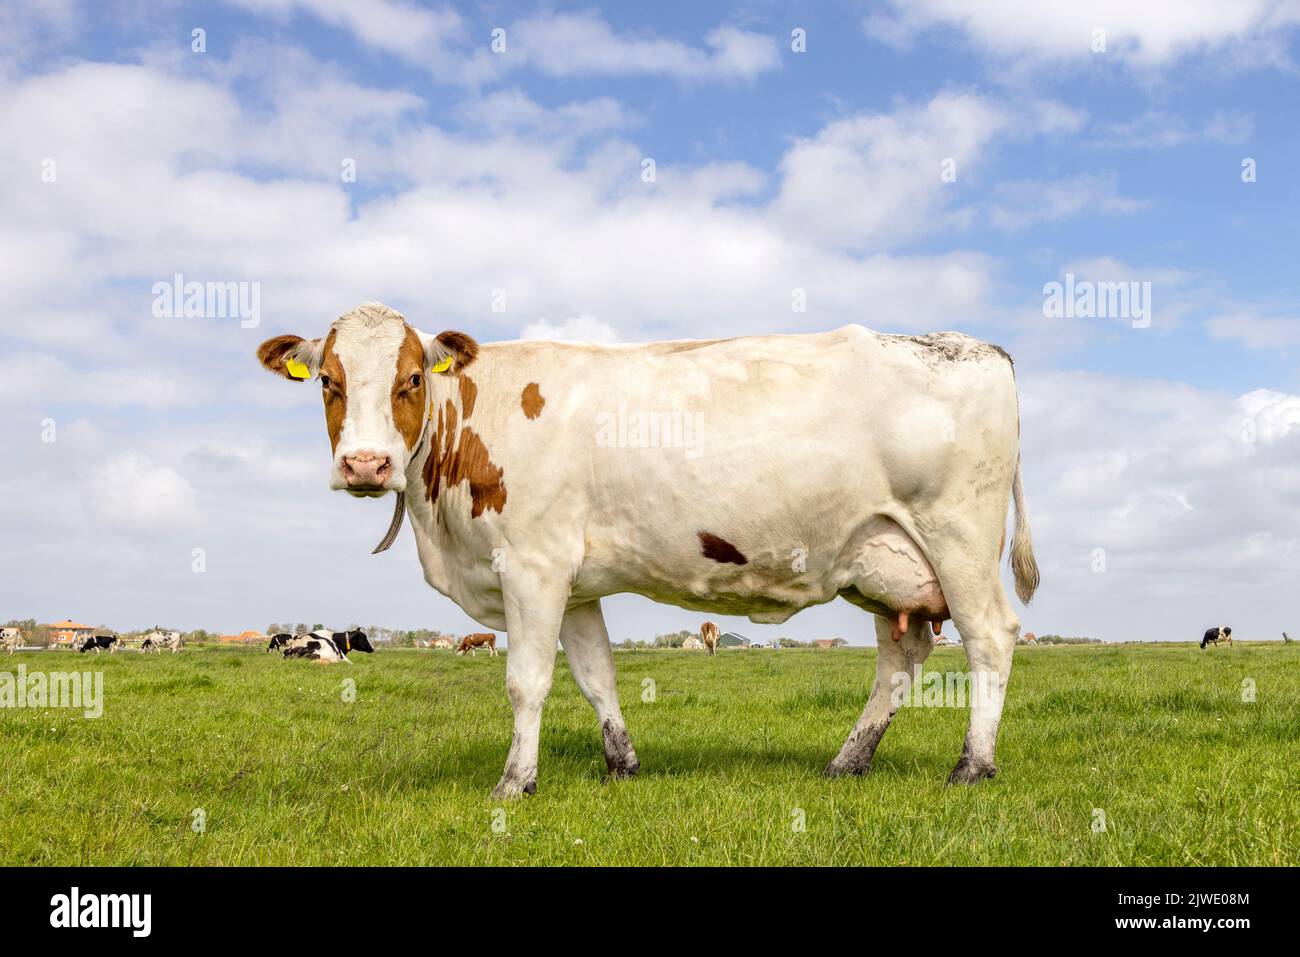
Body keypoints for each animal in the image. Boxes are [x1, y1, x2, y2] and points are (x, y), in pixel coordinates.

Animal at [257, 301, 1039, 798]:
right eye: (328, 381)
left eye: (412, 378)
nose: (365, 464)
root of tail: (974, 345)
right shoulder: (574, 584)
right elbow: (596, 675)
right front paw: (621, 765)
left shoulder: (533, 566)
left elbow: (526, 681)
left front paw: (515, 782)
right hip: (882, 557)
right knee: (900, 658)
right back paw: (849, 761)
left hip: (958, 537)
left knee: (990, 637)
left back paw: (973, 766)